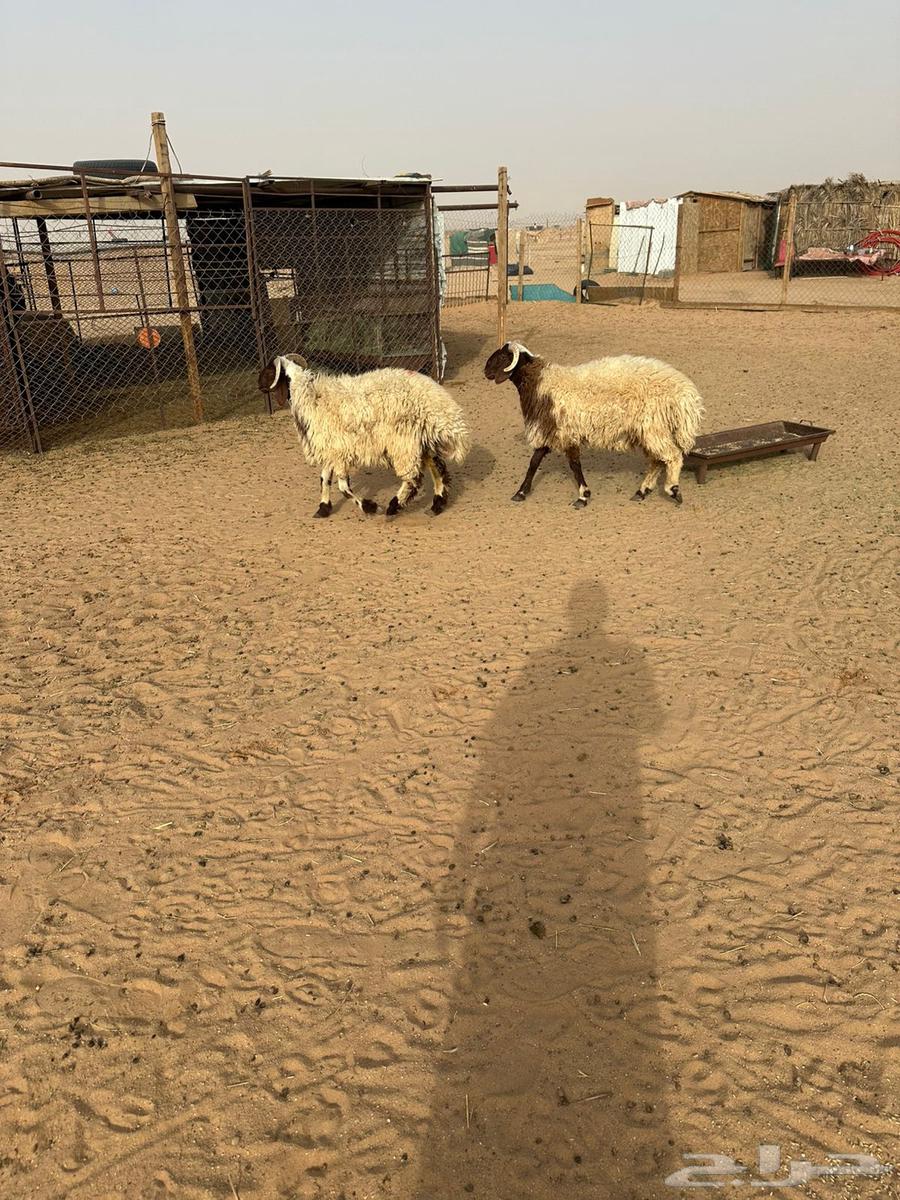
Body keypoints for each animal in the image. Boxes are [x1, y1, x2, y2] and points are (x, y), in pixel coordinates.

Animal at [258, 354, 471, 517]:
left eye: (269, 371)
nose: (258, 384)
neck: (310, 397)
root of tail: (442, 406)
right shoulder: (331, 448)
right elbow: (324, 479)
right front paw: (323, 508)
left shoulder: (338, 451)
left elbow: (343, 487)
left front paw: (370, 507)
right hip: (422, 440)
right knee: (438, 469)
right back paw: (436, 506)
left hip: (403, 442)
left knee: (413, 478)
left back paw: (393, 507)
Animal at [483, 341, 704, 507]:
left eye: (502, 357)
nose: (485, 371)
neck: (540, 382)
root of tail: (685, 394)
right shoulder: (551, 430)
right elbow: (534, 462)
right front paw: (521, 492)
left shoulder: (565, 432)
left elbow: (574, 465)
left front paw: (583, 496)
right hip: (648, 431)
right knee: (658, 460)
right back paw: (642, 491)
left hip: (653, 427)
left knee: (672, 456)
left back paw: (673, 489)